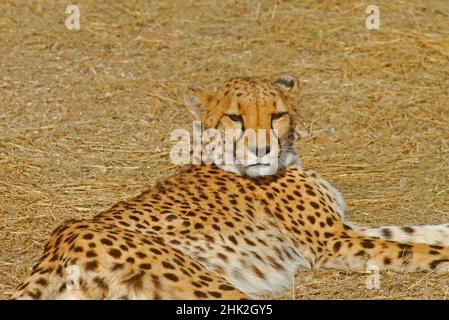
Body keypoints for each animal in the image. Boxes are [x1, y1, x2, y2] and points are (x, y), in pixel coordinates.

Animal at [10, 74, 448, 298]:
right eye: (236, 117)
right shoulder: (334, 243)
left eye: (277, 115)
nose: (261, 148)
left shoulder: (344, 230)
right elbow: (418, 250)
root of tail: (61, 238)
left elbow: (414, 231)